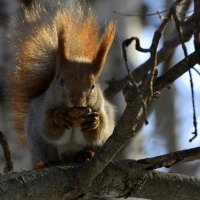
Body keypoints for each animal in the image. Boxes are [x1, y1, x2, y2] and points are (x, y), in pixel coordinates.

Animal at [8, 2, 115, 168]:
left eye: (93, 86)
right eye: (61, 81)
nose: (77, 101)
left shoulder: (102, 109)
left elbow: (99, 132)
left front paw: (94, 121)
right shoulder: (42, 108)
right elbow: (48, 129)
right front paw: (58, 117)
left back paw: (86, 154)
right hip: (39, 144)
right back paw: (44, 163)